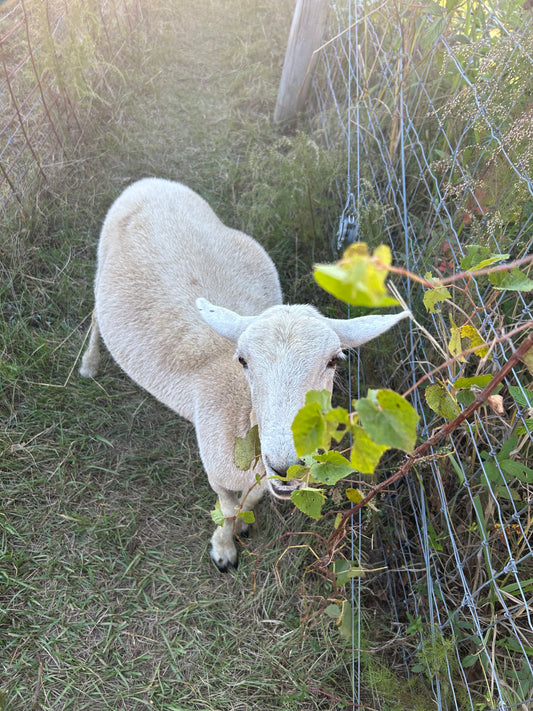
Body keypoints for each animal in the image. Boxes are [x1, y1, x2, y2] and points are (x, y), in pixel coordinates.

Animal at [81, 179, 410, 572]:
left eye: (334, 361)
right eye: (243, 360)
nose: (287, 467)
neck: (241, 416)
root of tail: (151, 182)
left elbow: (248, 503)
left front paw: (242, 526)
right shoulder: (216, 470)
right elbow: (225, 508)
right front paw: (224, 548)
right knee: (96, 313)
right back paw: (89, 363)